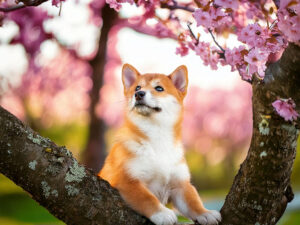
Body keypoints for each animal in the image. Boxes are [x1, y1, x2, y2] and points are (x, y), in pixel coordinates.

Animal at [98, 63, 220, 225]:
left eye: (159, 88)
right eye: (137, 87)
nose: (139, 94)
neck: (157, 137)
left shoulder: (180, 184)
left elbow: (193, 200)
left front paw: (205, 213)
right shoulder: (126, 180)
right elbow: (146, 198)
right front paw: (162, 214)